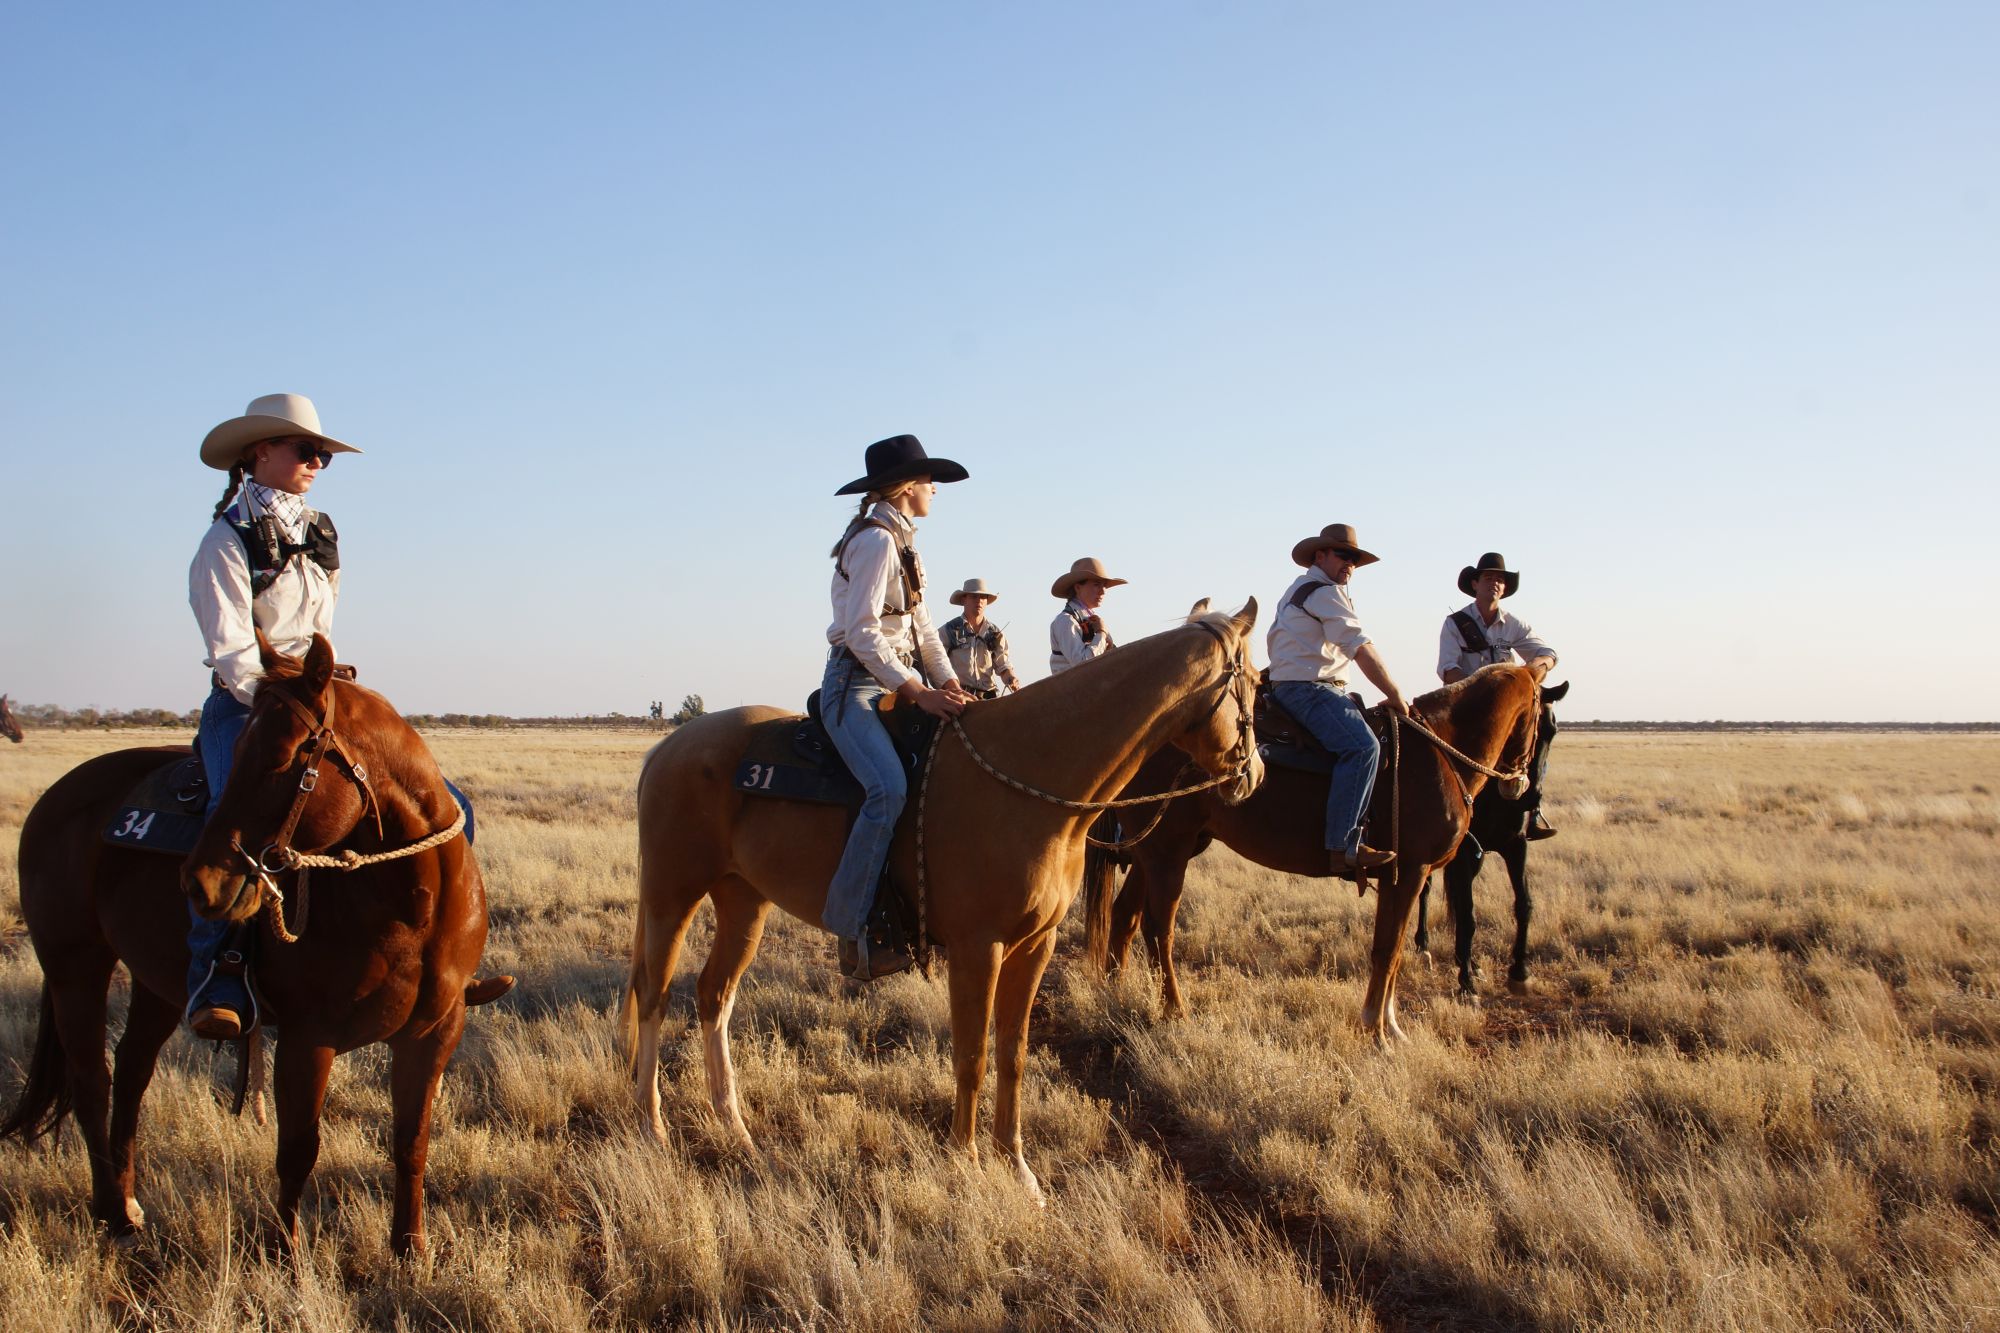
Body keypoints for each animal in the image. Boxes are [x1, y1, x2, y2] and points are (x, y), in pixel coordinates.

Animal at [1, 633, 497, 1254]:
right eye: (237, 751)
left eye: (282, 756)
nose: (199, 882)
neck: (412, 906)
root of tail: (58, 796)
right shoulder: (308, 1038)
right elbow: (299, 1150)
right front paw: (285, 1254)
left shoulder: (433, 1033)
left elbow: (411, 1141)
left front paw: (410, 1250)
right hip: (75, 967)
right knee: (93, 1079)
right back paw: (114, 1215)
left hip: (156, 983)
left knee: (133, 1071)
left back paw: (130, 1201)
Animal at [619, 603, 1264, 1200]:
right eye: (1256, 683)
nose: (1253, 775)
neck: (1033, 775)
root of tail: (668, 749)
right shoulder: (978, 948)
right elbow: (971, 1055)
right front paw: (967, 1161)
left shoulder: (1035, 944)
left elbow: (1013, 1054)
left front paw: (1019, 1171)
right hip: (671, 894)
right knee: (653, 993)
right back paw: (652, 1126)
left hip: (743, 901)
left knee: (714, 995)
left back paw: (735, 1126)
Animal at [1087, 662, 1547, 1042]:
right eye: (1543, 719)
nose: (1522, 790)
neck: (1440, 753)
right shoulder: (1410, 873)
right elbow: (1387, 949)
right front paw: (1376, 1031)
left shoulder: (1402, 877)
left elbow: (1394, 951)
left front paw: (1393, 1028)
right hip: (1169, 852)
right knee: (1157, 928)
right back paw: (1174, 1010)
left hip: (1155, 852)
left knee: (1125, 917)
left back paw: (1115, 993)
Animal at [1411, 680, 1569, 998]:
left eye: (1553, 730)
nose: (1530, 797)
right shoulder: (1462, 853)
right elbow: (1467, 913)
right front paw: (1466, 982)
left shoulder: (1515, 845)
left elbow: (1524, 903)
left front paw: (1519, 972)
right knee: (1427, 891)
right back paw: (1424, 947)